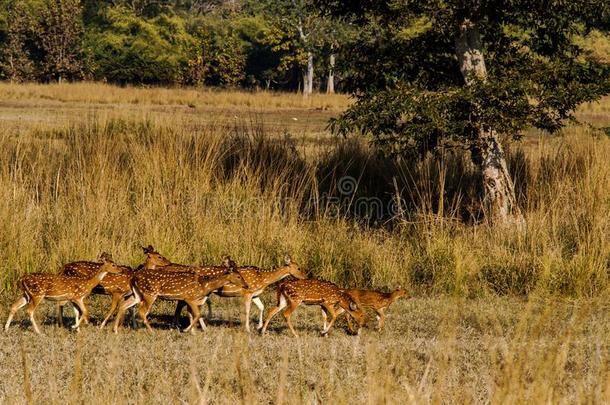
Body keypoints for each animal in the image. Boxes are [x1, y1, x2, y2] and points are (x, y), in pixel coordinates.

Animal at [111, 268, 247, 332]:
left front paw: (193, 331)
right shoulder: (189, 297)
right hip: (150, 293)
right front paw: (186, 330)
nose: (246, 285)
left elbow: (193, 314)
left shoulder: (191, 300)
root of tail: (133, 277)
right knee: (142, 311)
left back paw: (116, 329)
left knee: (124, 305)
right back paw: (151, 331)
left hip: (137, 294)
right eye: (238, 276)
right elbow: (197, 314)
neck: (204, 286)